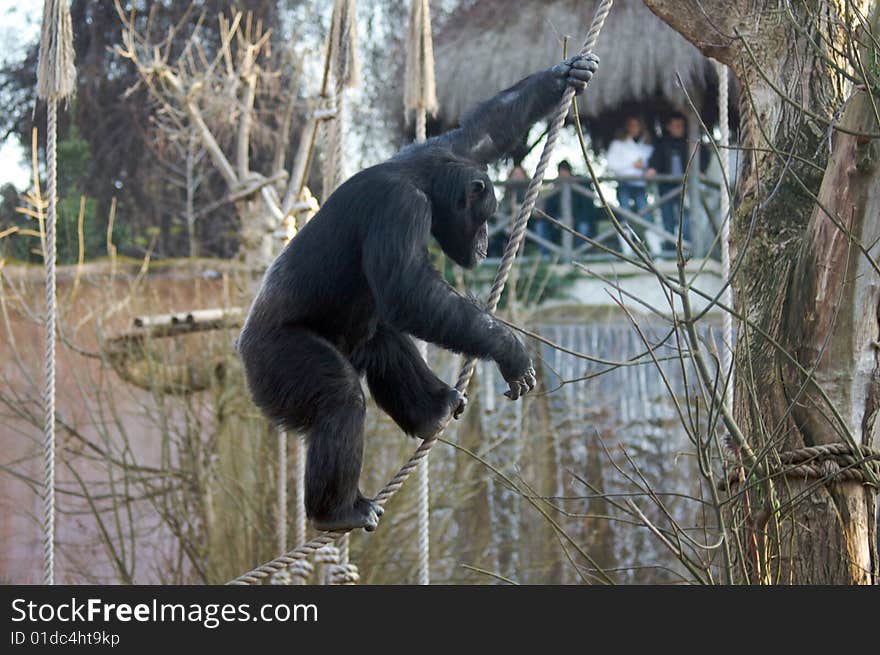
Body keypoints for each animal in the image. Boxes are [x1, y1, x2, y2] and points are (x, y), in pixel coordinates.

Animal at [237, 52, 600, 532]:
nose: (488, 241)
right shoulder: (400, 206)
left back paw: (435, 410)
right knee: (340, 397)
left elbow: (479, 135)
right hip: (274, 359)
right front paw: (510, 351)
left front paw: (566, 73)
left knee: (384, 342)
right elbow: (407, 291)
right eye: (487, 216)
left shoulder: (435, 150)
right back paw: (338, 511)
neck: (422, 179)